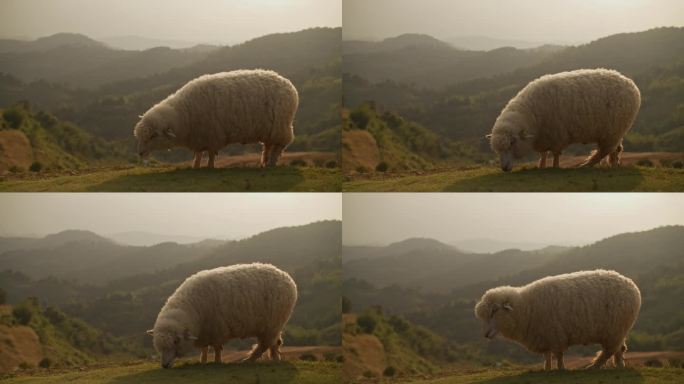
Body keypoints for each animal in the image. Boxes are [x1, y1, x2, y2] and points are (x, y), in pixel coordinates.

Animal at [135, 70, 298, 169]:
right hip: (269, 129)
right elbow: (199, 153)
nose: (140, 153)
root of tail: (289, 85)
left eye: (153, 136)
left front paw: (209, 166)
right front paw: (195, 165)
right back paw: (264, 162)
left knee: (279, 146)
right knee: (268, 145)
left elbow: (211, 153)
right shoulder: (199, 136)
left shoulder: (212, 134)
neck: (184, 113)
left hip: (281, 126)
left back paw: (271, 163)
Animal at [147, 262, 296, 368]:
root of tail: (287, 278)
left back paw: (249, 360)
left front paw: (217, 361)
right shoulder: (205, 331)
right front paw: (203, 361)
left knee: (264, 345)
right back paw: (275, 359)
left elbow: (217, 347)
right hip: (273, 325)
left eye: (176, 341)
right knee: (275, 342)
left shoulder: (217, 329)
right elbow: (205, 348)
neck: (192, 308)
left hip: (272, 323)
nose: (164, 365)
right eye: (159, 347)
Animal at [476, 268, 640, 370]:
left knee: (608, 351)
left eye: (494, 311)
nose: (485, 335)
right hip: (618, 330)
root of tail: (631, 284)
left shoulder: (555, 335)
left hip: (614, 330)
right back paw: (619, 366)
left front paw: (561, 369)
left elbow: (558, 355)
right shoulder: (543, 335)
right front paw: (547, 368)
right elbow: (547, 354)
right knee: (619, 349)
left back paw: (594, 366)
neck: (526, 307)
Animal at [486, 68, 640, 172]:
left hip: (612, 131)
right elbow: (544, 153)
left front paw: (555, 167)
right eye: (498, 150)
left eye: (512, 143)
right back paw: (614, 165)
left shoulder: (557, 135)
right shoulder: (545, 136)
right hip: (616, 131)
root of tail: (632, 85)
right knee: (616, 149)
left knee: (604, 151)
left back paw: (586, 165)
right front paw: (541, 165)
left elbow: (555, 153)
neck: (531, 115)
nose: (504, 169)